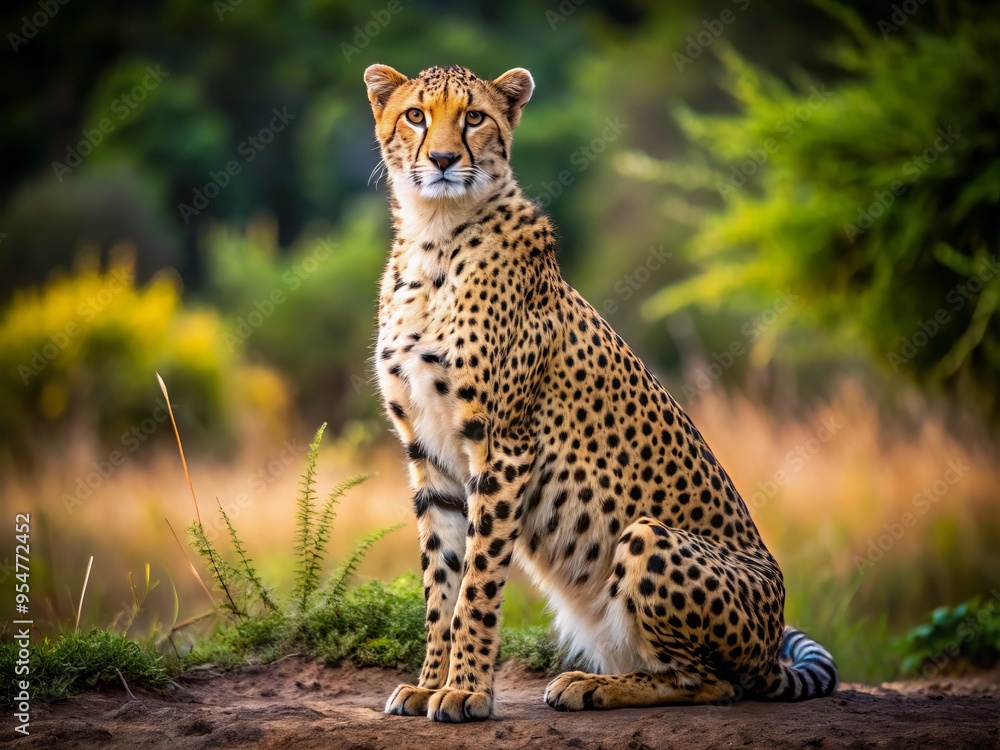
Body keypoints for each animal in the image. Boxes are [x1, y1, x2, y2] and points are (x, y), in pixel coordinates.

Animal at [363, 62, 838, 723]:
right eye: (415, 115)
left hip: (647, 536)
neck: (435, 234)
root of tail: (771, 643)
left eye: (474, 117)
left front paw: (466, 691)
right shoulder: (428, 454)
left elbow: (478, 586)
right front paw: (429, 684)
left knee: (712, 682)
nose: (442, 158)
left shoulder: (503, 446)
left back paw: (593, 686)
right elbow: (441, 585)